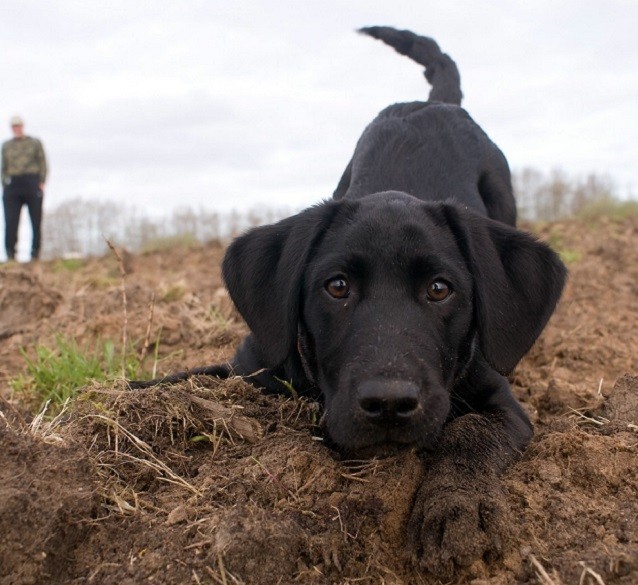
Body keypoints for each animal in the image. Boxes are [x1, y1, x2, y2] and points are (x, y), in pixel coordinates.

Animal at [134, 27, 564, 576]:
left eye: (440, 289)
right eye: (336, 287)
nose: (389, 404)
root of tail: (433, 103)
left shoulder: (502, 402)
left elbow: (468, 434)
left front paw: (456, 507)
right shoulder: (251, 367)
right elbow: (186, 377)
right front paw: (119, 394)